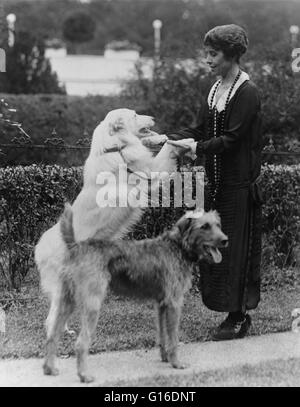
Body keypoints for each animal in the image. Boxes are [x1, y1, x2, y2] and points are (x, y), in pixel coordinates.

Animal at [42, 206, 227, 384]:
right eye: (204, 226)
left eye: (218, 225)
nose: (225, 240)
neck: (178, 246)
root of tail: (76, 246)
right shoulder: (174, 303)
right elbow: (173, 337)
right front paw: (176, 363)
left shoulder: (162, 304)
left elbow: (162, 334)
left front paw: (165, 358)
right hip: (91, 305)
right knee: (81, 343)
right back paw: (84, 375)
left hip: (66, 302)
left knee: (52, 336)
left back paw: (49, 369)